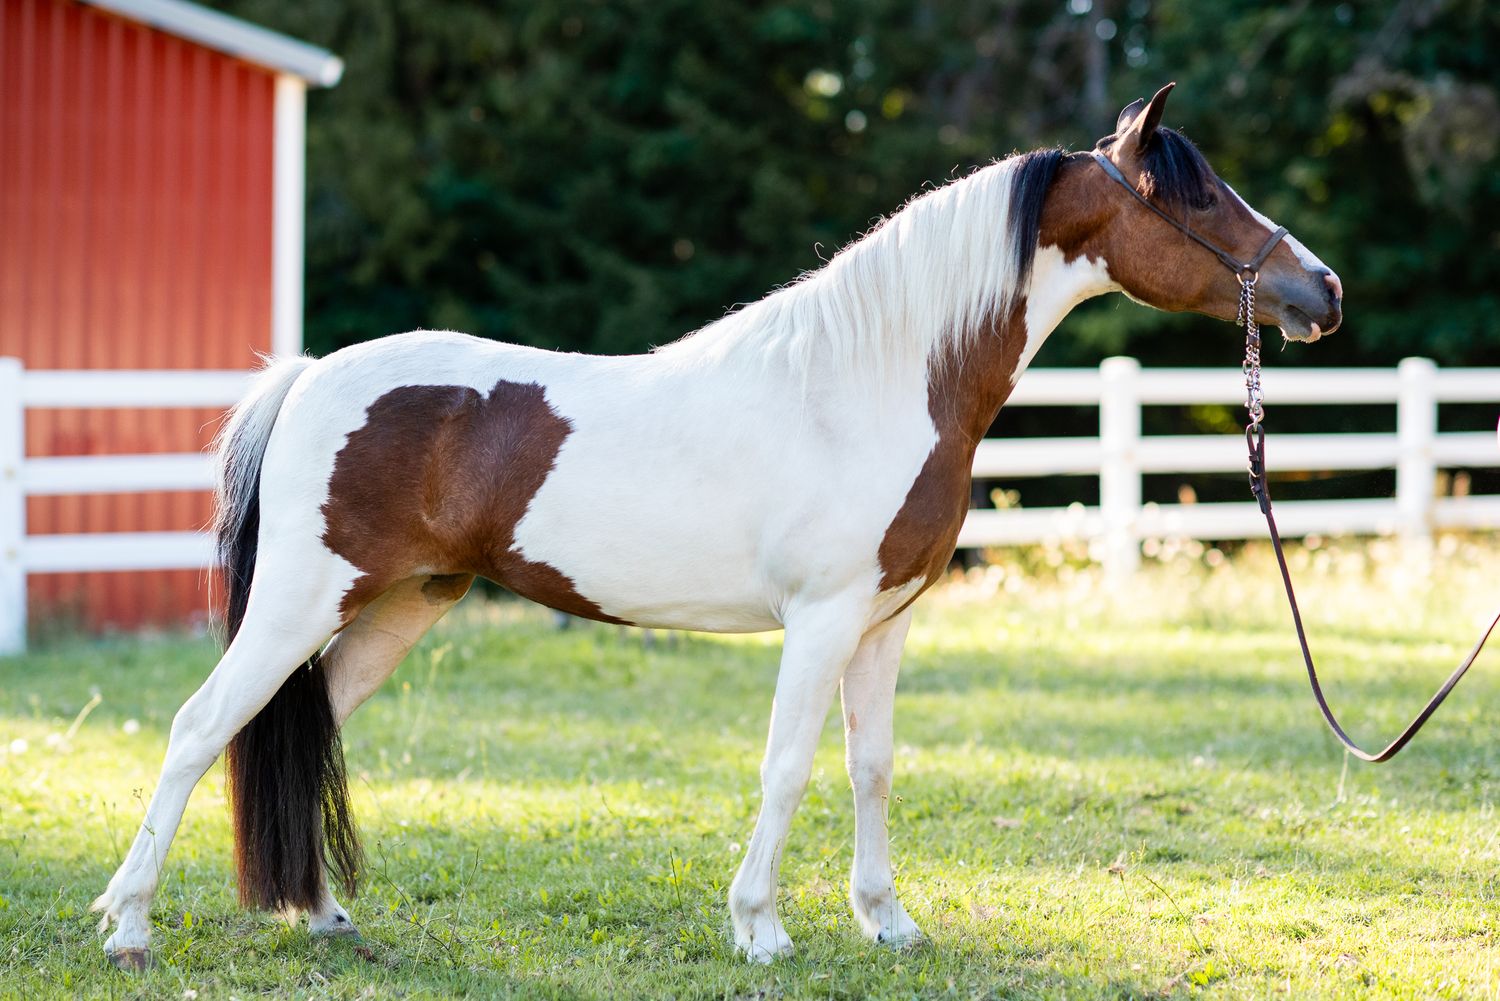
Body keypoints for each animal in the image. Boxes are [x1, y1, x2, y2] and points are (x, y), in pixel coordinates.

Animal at [92, 83, 1342, 969]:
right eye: (1196, 196)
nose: (1320, 290)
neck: (873, 380)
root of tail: (309, 376)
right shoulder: (821, 619)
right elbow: (788, 764)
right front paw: (762, 927)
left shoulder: (884, 623)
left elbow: (872, 765)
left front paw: (887, 921)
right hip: (304, 597)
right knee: (201, 726)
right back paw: (128, 923)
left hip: (397, 607)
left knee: (305, 731)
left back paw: (318, 915)